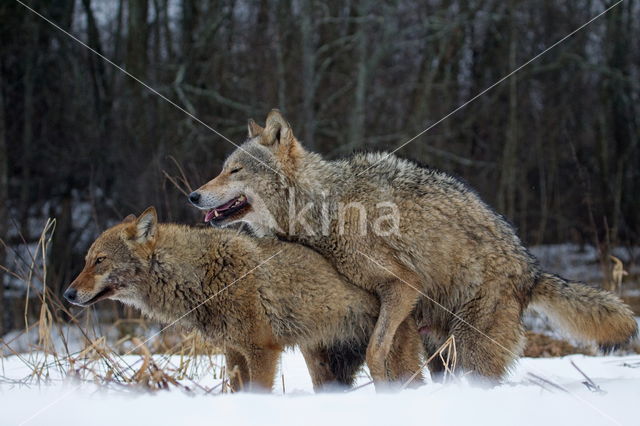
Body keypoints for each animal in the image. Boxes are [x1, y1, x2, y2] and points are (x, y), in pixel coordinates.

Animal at [188, 109, 636, 386]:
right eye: (222, 169)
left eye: (234, 170)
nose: (193, 196)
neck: (325, 205)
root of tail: (532, 268)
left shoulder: (403, 286)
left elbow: (375, 352)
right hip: (441, 348)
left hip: (470, 347)